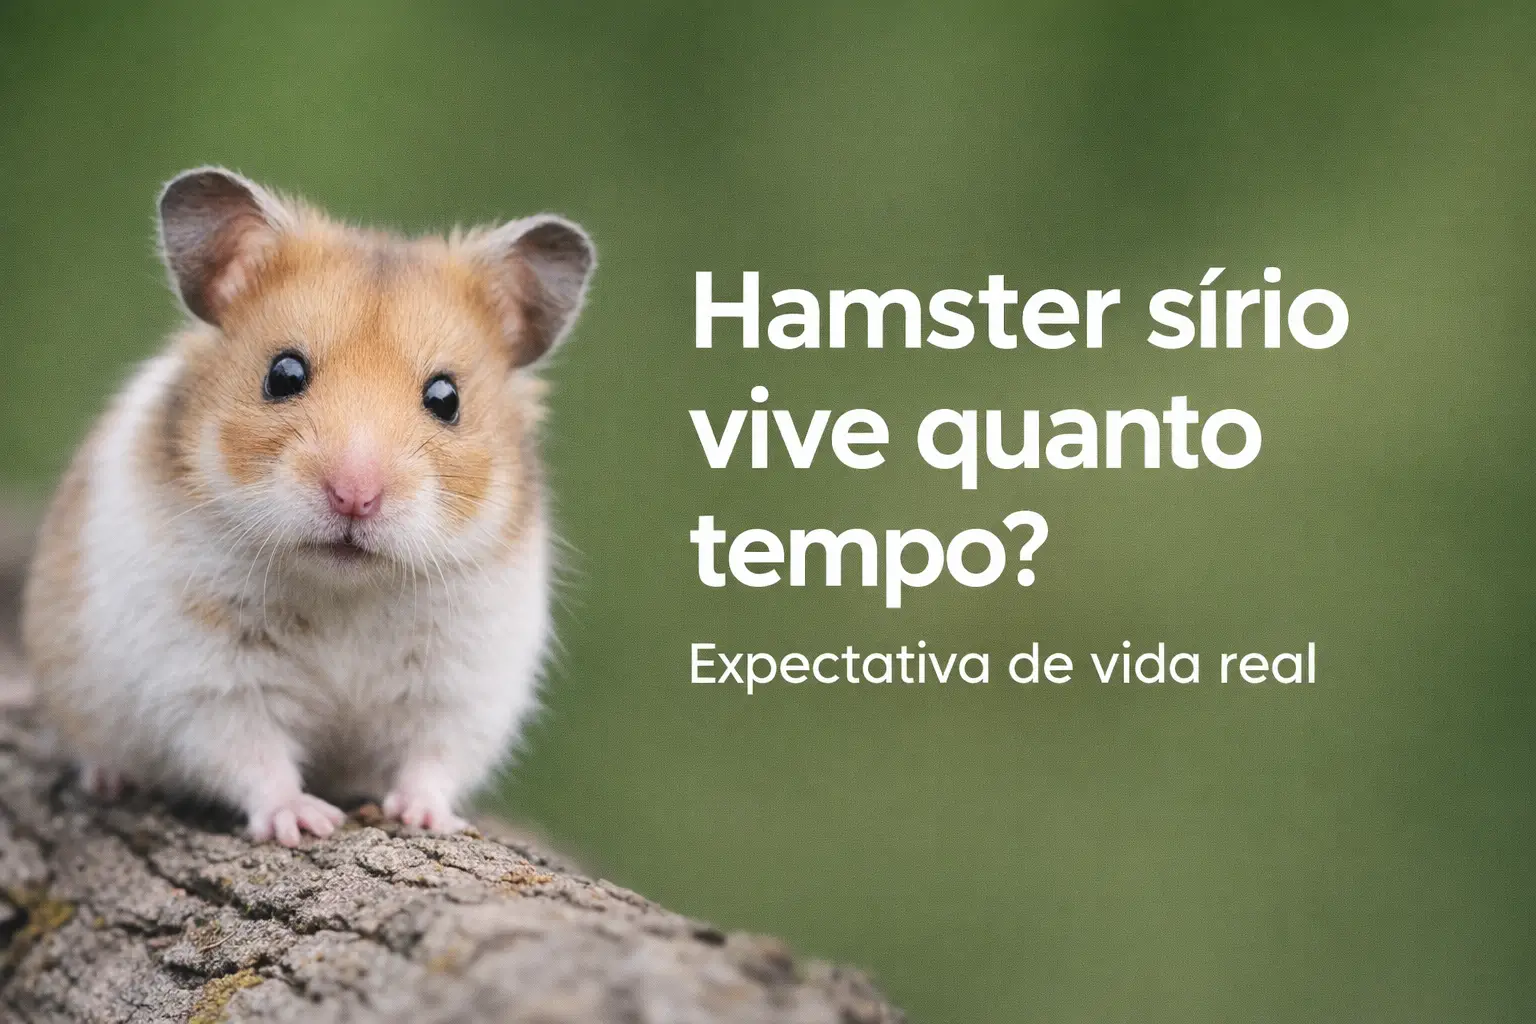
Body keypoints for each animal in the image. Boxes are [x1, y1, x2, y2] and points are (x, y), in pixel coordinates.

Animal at [20, 168, 595, 846]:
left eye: (446, 398)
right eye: (284, 374)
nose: (355, 495)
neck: (345, 588)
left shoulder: (464, 674)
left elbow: (435, 755)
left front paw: (425, 818)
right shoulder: (204, 671)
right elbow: (251, 753)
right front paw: (305, 821)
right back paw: (113, 780)